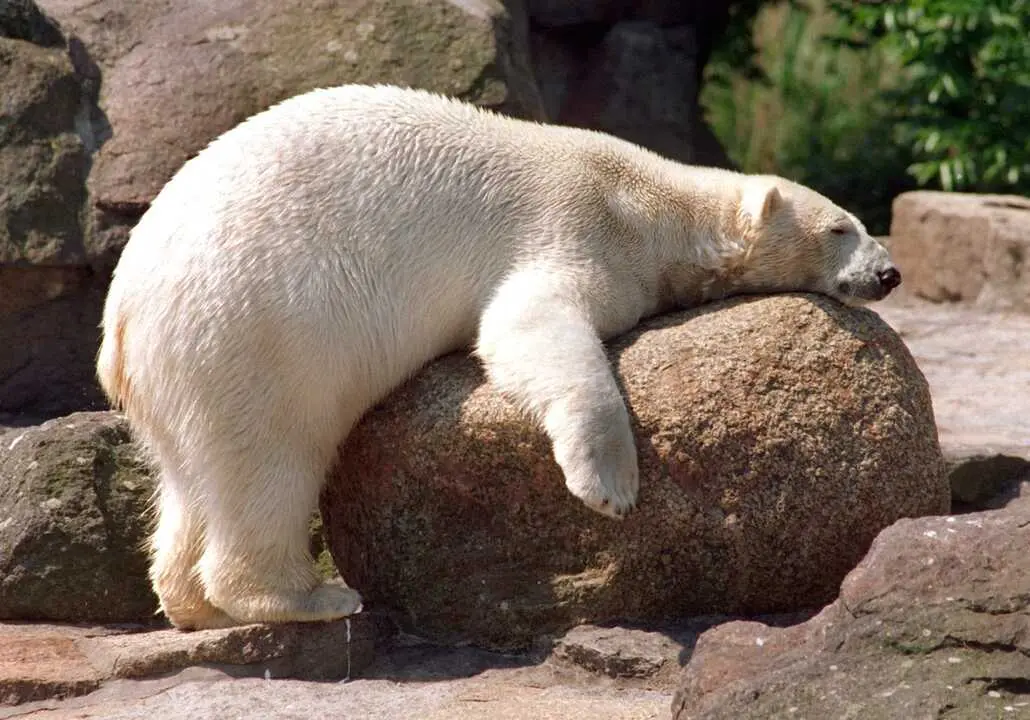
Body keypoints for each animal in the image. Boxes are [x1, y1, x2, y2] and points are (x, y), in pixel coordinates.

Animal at [97, 84, 901, 630]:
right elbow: (527, 326)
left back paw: (191, 603)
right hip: (250, 336)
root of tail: (122, 323)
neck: (652, 203)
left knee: (193, 479)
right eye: (840, 226)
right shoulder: (577, 220)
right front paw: (610, 489)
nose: (890, 272)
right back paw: (310, 596)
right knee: (270, 462)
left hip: (186, 375)